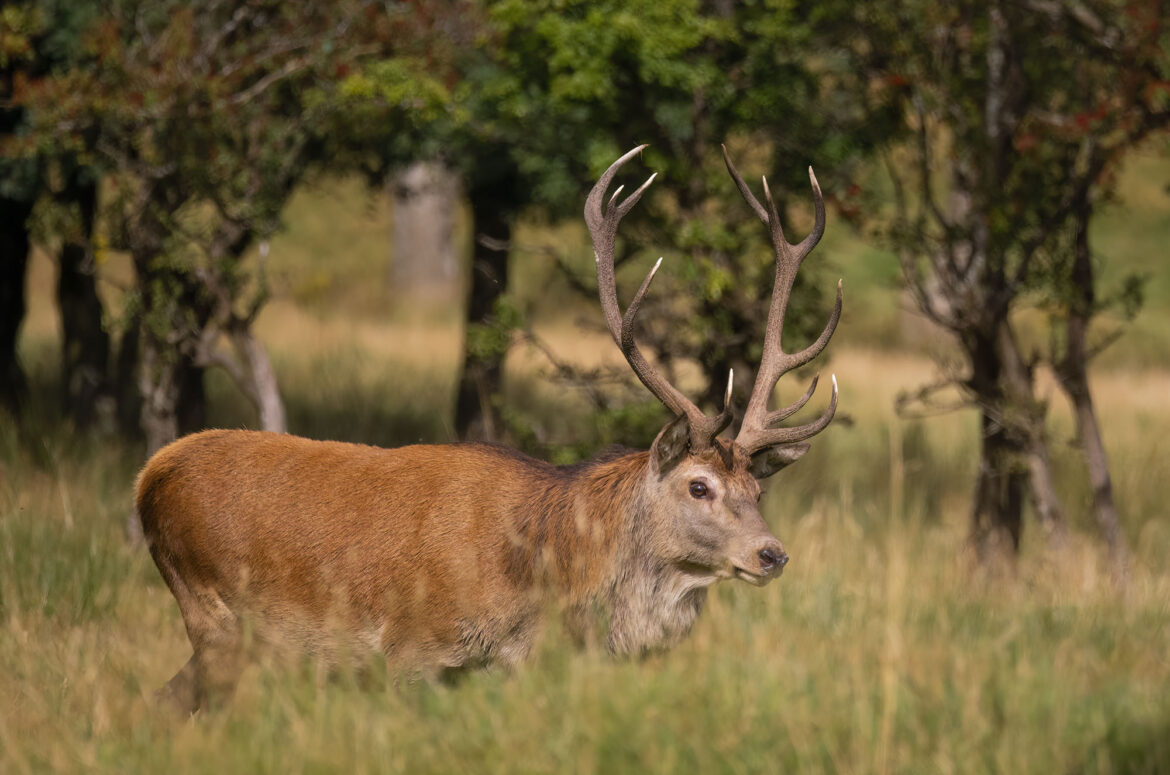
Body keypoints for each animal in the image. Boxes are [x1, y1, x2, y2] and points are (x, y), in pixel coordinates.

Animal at [137, 145, 842, 714]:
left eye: (757, 489)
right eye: (698, 485)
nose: (772, 553)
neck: (541, 579)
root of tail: (150, 477)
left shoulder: (512, 668)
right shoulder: (410, 651)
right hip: (214, 614)